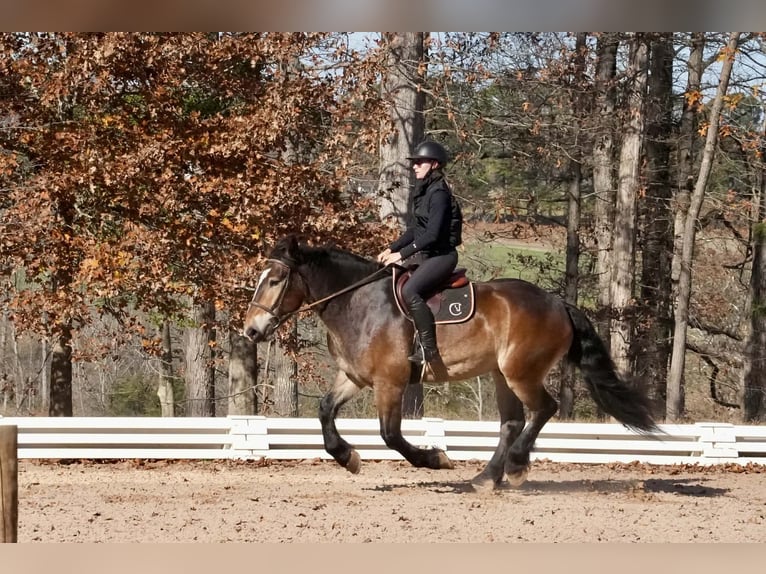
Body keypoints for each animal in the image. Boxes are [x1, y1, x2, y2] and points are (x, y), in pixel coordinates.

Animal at [243, 235, 659, 490]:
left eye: (275, 280)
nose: (251, 330)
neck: (358, 301)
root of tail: (557, 302)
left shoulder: (390, 382)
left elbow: (390, 435)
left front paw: (435, 459)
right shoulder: (354, 377)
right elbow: (325, 412)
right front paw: (348, 457)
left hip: (521, 372)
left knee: (544, 409)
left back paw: (516, 467)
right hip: (501, 375)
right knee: (512, 422)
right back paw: (486, 479)